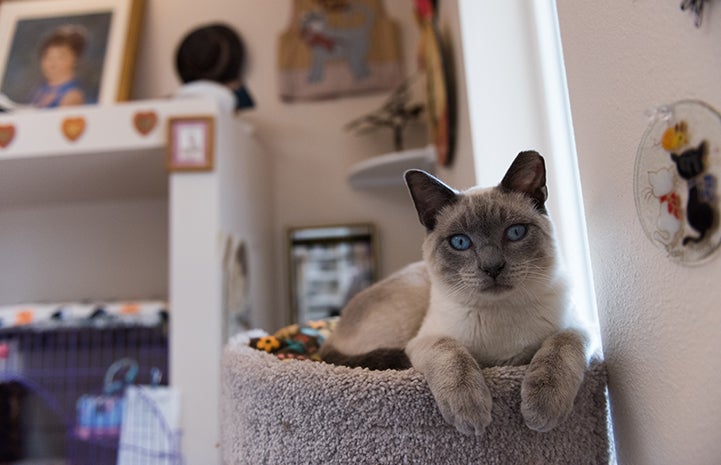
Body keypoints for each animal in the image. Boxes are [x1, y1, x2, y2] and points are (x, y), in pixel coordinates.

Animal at [320, 151, 592, 436]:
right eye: (460, 242)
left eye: (515, 232)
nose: (492, 267)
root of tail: (334, 330)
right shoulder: (426, 341)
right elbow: (453, 355)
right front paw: (470, 412)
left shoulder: (581, 328)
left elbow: (560, 347)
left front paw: (542, 410)